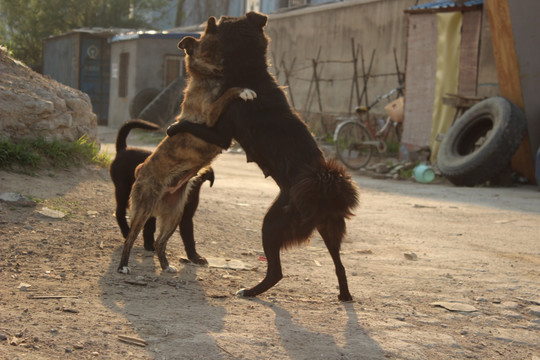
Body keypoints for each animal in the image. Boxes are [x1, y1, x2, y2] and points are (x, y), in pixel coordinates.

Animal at [109, 119, 211, 264]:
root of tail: (123, 149)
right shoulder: (148, 203)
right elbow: (149, 228)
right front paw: (149, 245)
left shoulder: (185, 216)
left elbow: (189, 237)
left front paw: (194, 257)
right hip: (122, 190)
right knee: (119, 211)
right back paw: (126, 231)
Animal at [168, 11, 362, 300]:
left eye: (224, 22)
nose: (216, 16)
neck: (252, 72)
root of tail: (325, 188)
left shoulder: (222, 135)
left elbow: (192, 125)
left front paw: (174, 126)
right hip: (330, 230)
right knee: (340, 266)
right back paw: (345, 295)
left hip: (271, 225)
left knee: (276, 272)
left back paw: (249, 291)